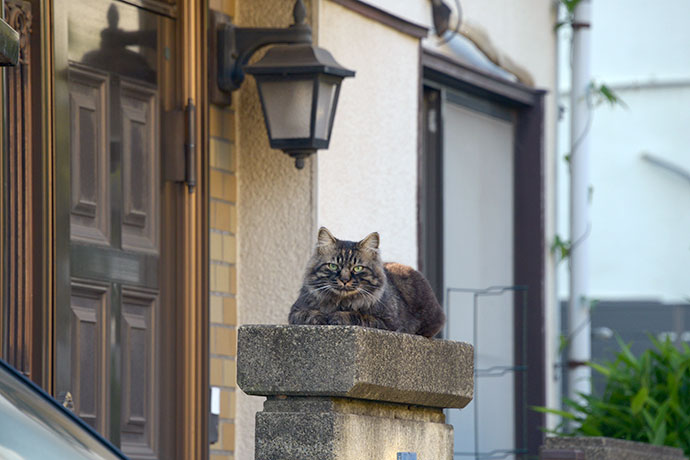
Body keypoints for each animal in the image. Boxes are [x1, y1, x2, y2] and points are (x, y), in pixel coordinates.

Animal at [286, 227, 444, 338]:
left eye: (358, 268)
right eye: (333, 266)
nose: (344, 280)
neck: (340, 302)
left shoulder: (388, 322)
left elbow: (357, 315)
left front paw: (336, 316)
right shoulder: (296, 311)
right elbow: (308, 313)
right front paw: (320, 317)